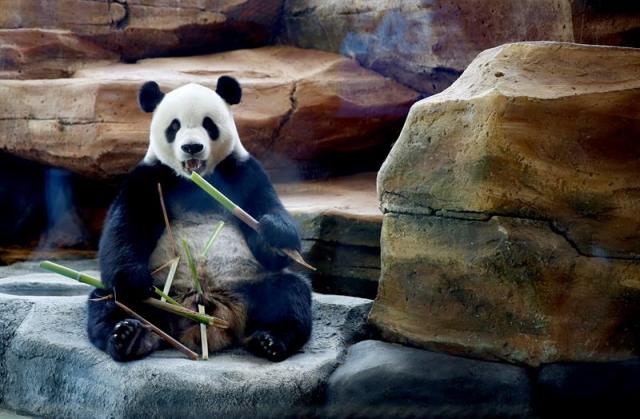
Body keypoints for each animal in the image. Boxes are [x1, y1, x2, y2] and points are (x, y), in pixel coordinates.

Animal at [87, 77, 312, 362]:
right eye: (174, 126)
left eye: (208, 124)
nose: (192, 147)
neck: (197, 181)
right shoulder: (150, 178)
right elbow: (126, 226)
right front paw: (133, 281)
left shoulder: (244, 173)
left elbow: (269, 214)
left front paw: (273, 232)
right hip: (162, 292)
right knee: (109, 303)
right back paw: (130, 337)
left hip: (249, 287)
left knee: (290, 294)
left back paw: (270, 341)